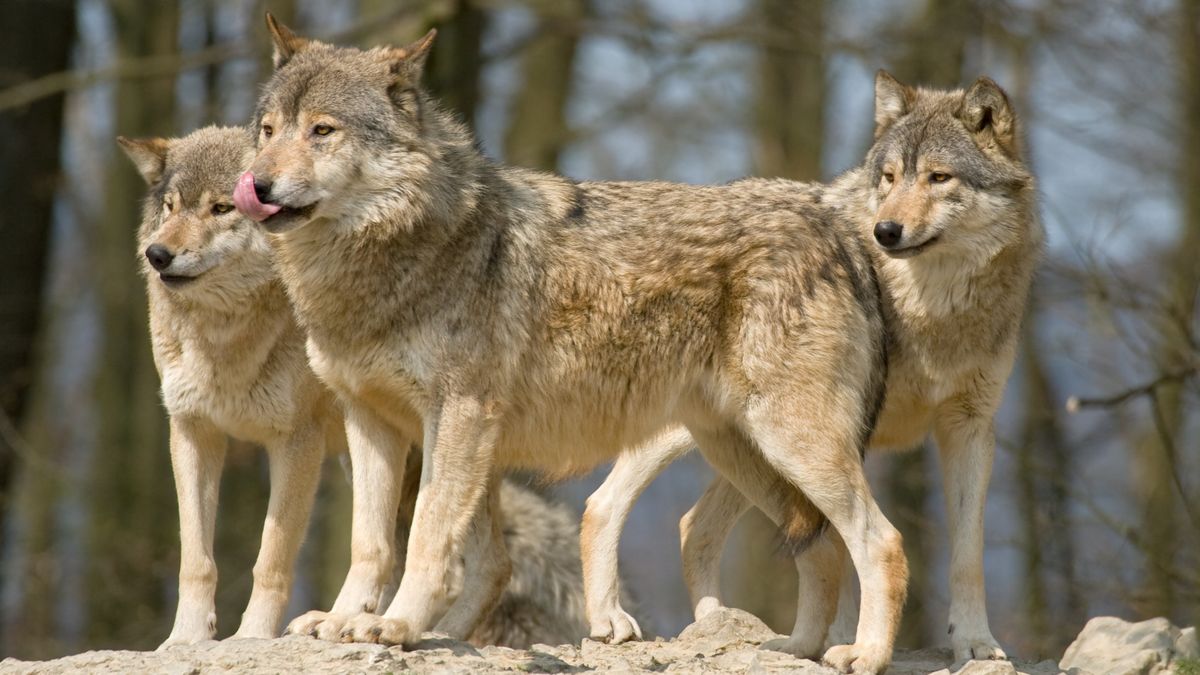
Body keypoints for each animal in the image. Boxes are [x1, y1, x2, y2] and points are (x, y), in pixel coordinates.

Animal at [117, 124, 595, 648]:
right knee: (483, 564)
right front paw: (184, 640)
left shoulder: (296, 444)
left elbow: (271, 560)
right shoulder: (192, 432)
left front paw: (253, 638)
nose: (157, 254)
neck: (226, 342)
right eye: (170, 207)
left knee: (472, 565)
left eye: (222, 208)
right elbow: (196, 560)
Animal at [234, 17, 902, 672]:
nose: (256, 186)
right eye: (267, 130)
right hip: (742, 455)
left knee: (881, 542)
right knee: (822, 549)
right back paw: (796, 651)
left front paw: (394, 625)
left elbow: (426, 536)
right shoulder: (372, 422)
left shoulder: (459, 416)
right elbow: (369, 544)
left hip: (789, 445)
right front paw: (344, 620)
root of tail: (839, 232)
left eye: (322, 130)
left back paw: (864, 654)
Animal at [578, 69, 1041, 662]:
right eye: (889, 177)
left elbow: (967, 555)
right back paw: (613, 621)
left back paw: (722, 626)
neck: (931, 310)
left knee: (693, 527)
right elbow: (846, 547)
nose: (886, 231)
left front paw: (977, 643)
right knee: (604, 504)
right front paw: (848, 639)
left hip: (759, 440)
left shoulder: (969, 427)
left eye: (939, 177)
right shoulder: (853, 434)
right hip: (737, 433)